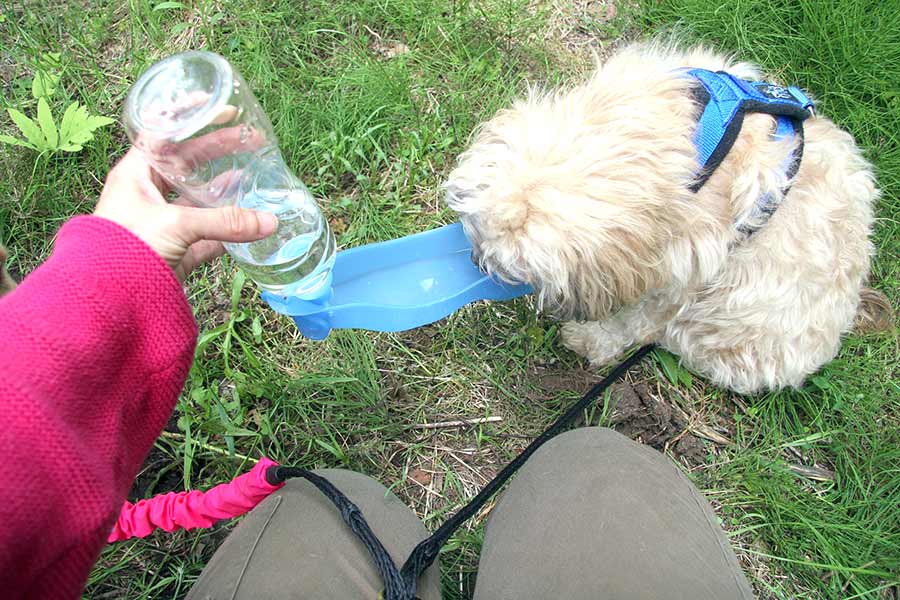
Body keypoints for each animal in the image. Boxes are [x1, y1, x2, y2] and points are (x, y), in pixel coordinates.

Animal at [442, 44, 884, 396]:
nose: (476, 262)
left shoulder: (687, 267)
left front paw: (592, 339)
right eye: (475, 235)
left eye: (508, 264)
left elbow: (637, 319)